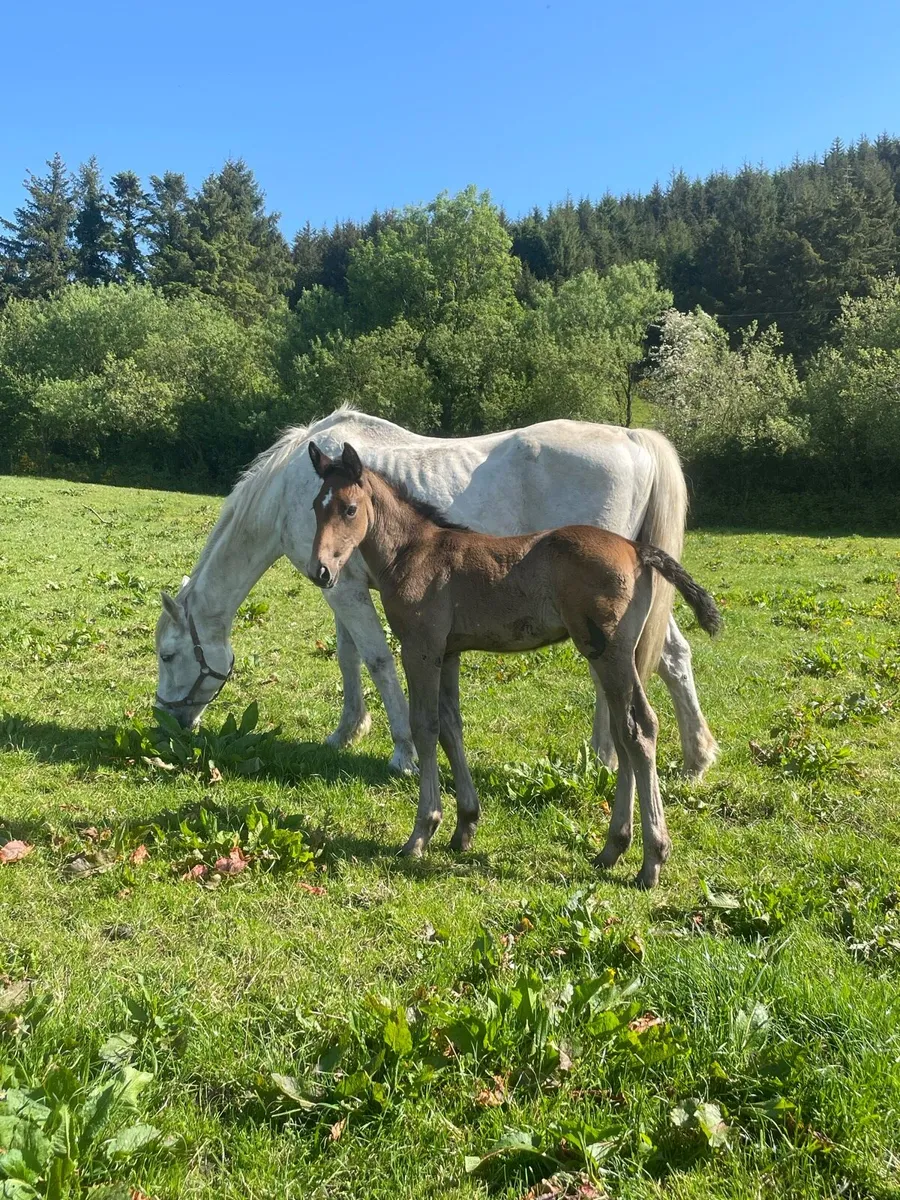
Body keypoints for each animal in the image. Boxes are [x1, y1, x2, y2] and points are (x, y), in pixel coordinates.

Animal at [154, 406, 718, 778]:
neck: (290, 489)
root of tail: (633, 437)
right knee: (671, 655)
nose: (167, 722)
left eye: (167, 654)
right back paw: (694, 758)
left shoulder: (347, 593)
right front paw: (346, 731)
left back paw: (606, 755)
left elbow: (377, 660)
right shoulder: (338, 585)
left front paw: (402, 750)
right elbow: (347, 657)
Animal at [308, 442, 722, 888]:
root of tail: (636, 549)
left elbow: (425, 727)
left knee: (639, 730)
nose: (321, 571)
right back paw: (612, 849)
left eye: (350, 509)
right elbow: (451, 726)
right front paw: (465, 825)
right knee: (623, 733)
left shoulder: (421, 650)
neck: (412, 552)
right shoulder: (449, 653)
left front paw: (421, 833)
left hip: (609, 652)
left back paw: (651, 860)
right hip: (613, 656)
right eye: (315, 505)